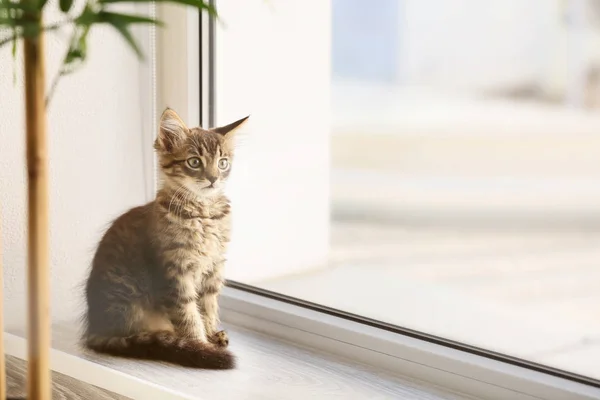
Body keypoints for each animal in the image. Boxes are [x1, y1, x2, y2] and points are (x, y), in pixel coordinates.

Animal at [82, 107, 248, 368]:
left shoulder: (213, 270)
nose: (213, 179)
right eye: (194, 162)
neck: (204, 213)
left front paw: (212, 334)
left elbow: (208, 308)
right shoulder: (175, 274)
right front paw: (201, 345)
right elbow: (189, 317)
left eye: (223, 163)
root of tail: (94, 330)